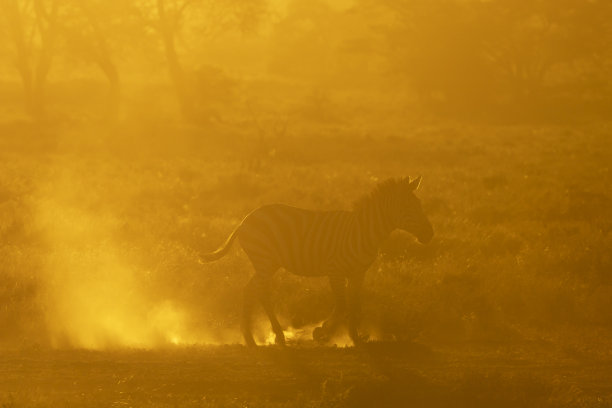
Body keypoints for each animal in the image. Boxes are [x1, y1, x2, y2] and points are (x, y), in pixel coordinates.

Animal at [200, 177, 430, 346]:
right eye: (410, 207)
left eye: (420, 205)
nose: (431, 234)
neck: (364, 231)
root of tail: (245, 219)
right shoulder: (335, 271)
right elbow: (342, 305)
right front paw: (323, 332)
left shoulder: (358, 273)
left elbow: (354, 303)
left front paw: (355, 337)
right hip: (264, 260)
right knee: (258, 292)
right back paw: (265, 337)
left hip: (269, 263)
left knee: (253, 291)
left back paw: (258, 336)